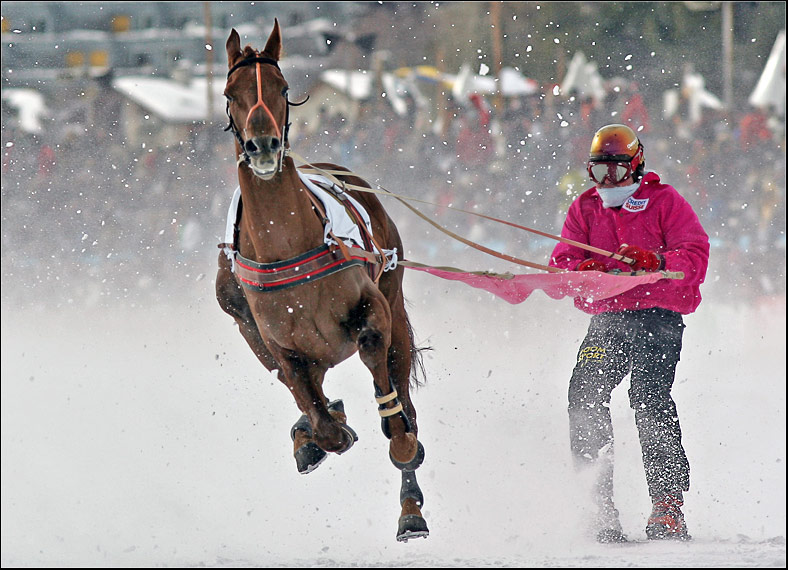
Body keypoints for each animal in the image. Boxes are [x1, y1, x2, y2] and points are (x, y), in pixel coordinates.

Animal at [214, 20, 430, 540]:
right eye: (230, 93)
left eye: (282, 87)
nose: (264, 147)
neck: (289, 246)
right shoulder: (278, 342)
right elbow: (310, 403)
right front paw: (322, 430)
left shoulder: (373, 309)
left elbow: (375, 355)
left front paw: (397, 437)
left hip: (394, 303)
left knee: (401, 392)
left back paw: (410, 503)